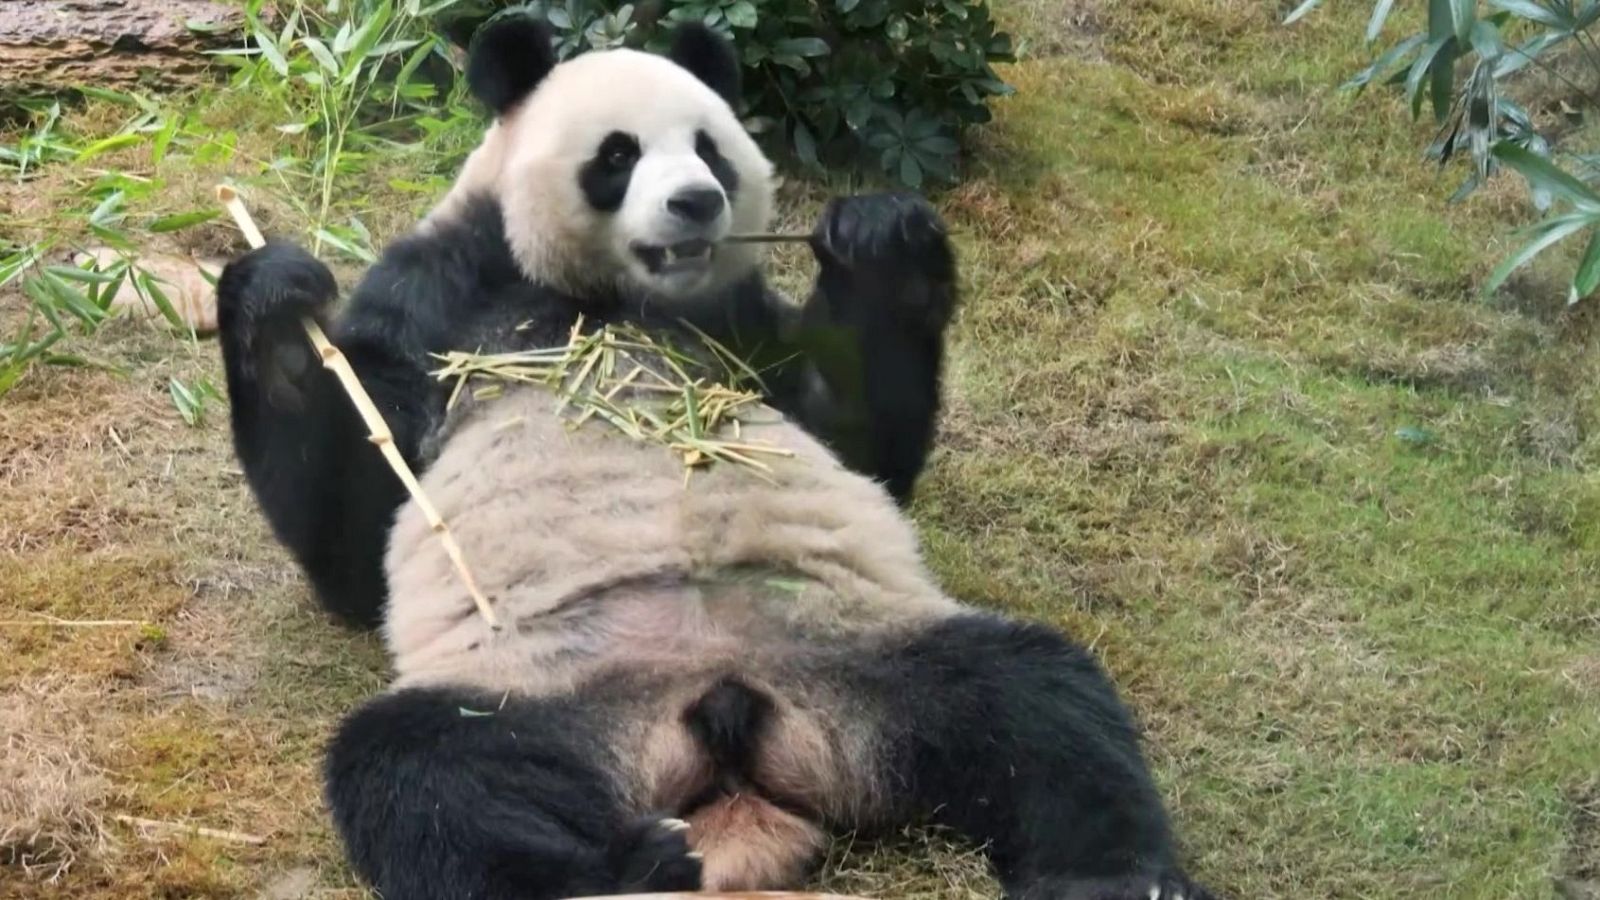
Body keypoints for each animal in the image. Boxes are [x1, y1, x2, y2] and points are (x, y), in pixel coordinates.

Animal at [213, 14, 1215, 900]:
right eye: (618, 155)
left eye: (710, 148)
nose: (697, 202)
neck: (607, 300)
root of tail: (725, 730)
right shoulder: (440, 295)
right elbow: (356, 536)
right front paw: (278, 304)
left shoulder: (733, 319)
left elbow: (852, 433)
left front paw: (882, 238)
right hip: (542, 692)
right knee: (426, 778)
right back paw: (627, 870)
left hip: (862, 657)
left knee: (1039, 704)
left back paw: (1122, 878)